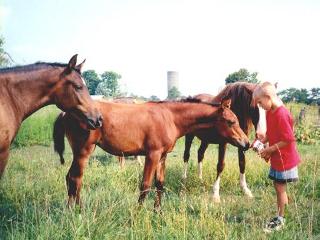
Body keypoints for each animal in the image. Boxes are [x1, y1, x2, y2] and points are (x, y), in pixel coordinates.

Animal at [53, 97, 250, 210]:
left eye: (237, 120)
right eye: (231, 122)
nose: (246, 143)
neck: (169, 117)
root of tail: (65, 113)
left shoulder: (162, 156)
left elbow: (160, 183)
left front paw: (158, 211)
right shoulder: (152, 154)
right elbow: (146, 184)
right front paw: (138, 213)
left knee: (70, 177)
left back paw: (71, 209)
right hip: (83, 151)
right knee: (76, 179)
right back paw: (78, 210)